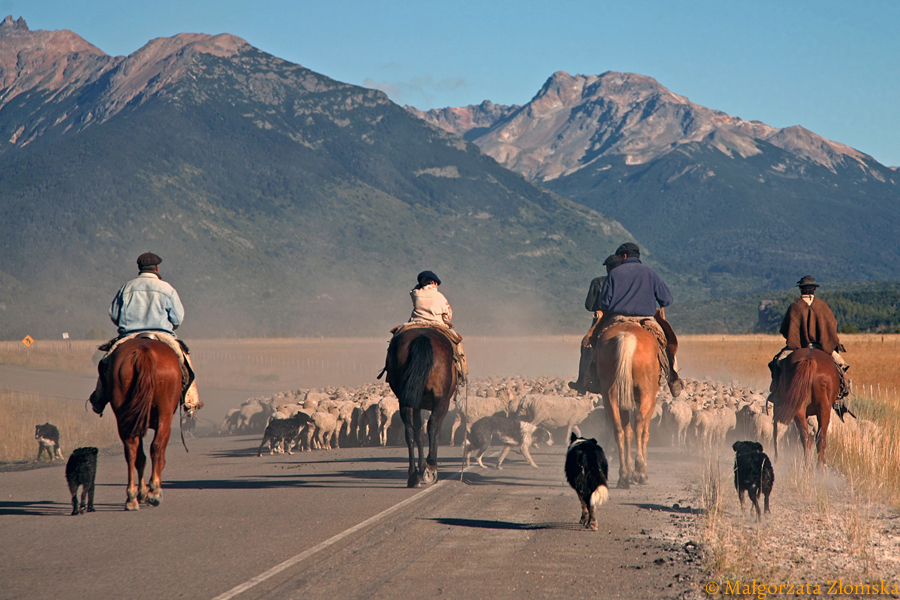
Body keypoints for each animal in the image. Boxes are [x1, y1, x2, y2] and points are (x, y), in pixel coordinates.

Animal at [384, 328, 458, 488]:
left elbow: (419, 434)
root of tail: (422, 337)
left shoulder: (416, 404)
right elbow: (433, 432)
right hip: (440, 399)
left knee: (409, 430)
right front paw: (427, 468)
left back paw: (413, 475)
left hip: (405, 399)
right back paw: (431, 469)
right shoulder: (443, 402)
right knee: (432, 425)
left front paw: (421, 468)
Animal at [592, 324, 660, 488]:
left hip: (610, 394)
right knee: (639, 424)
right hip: (646, 393)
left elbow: (627, 431)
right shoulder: (652, 400)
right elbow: (644, 432)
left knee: (618, 429)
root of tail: (627, 336)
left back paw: (623, 476)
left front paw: (628, 469)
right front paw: (638, 471)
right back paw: (639, 471)